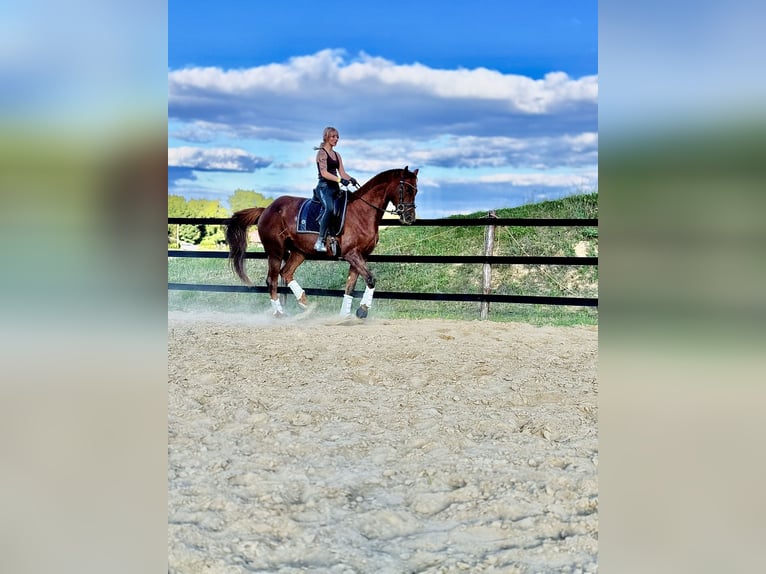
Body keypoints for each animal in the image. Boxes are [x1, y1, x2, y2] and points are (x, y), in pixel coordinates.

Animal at [225, 166, 419, 318]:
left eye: (416, 190)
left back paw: (306, 304)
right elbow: (371, 279)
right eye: (407, 189)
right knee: (271, 280)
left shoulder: (359, 256)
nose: (410, 218)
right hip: (275, 252)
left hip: (299, 252)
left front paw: (345, 316)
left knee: (286, 273)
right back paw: (279, 313)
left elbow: (350, 286)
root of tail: (267, 209)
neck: (362, 212)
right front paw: (362, 310)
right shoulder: (351, 254)